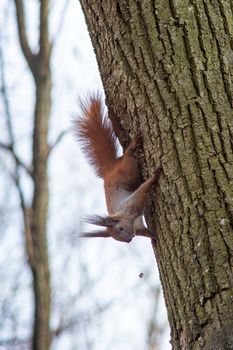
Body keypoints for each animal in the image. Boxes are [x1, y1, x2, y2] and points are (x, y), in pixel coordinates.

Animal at [73, 95, 161, 243]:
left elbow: (142, 191)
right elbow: (147, 233)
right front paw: (154, 236)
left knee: (128, 156)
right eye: (117, 239)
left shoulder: (130, 207)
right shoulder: (139, 228)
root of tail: (110, 169)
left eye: (120, 228)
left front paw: (154, 177)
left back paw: (132, 146)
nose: (129, 240)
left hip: (128, 172)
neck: (131, 221)